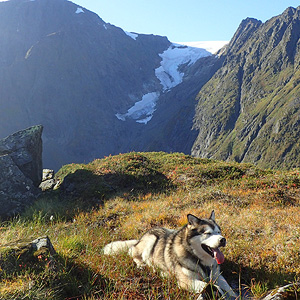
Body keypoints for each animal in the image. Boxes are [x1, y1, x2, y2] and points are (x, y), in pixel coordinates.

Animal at [103, 211, 237, 300]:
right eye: (208, 233)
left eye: (218, 232)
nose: (223, 240)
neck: (200, 260)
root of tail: (140, 238)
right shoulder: (185, 281)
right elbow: (211, 285)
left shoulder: (217, 275)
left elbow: (228, 288)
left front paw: (234, 295)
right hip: (151, 240)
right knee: (133, 253)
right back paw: (143, 265)